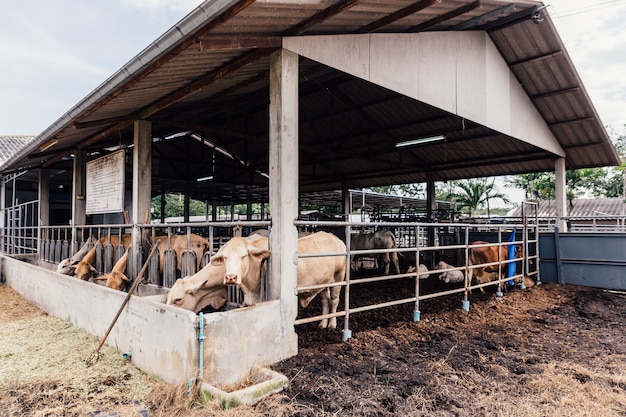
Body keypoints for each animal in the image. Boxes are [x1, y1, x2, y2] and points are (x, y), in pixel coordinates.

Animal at [211, 231, 346, 328]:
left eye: (244, 256)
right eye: (225, 257)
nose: (231, 277)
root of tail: (335, 238)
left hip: (339, 277)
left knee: (334, 300)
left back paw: (332, 324)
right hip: (323, 282)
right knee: (325, 300)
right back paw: (323, 323)